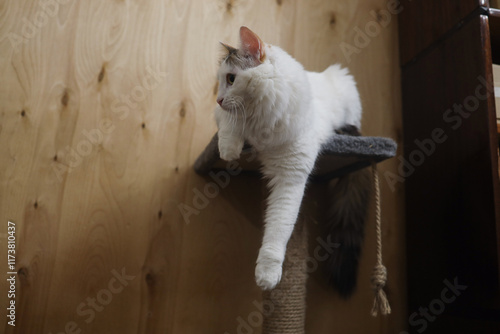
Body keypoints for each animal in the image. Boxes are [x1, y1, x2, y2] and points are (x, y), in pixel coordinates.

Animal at [215, 27, 372, 296]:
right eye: (221, 82)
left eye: (232, 79)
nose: (217, 99)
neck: (262, 123)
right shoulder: (223, 116)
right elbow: (230, 123)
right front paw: (229, 150)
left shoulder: (291, 177)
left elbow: (279, 230)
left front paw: (267, 276)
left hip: (347, 90)